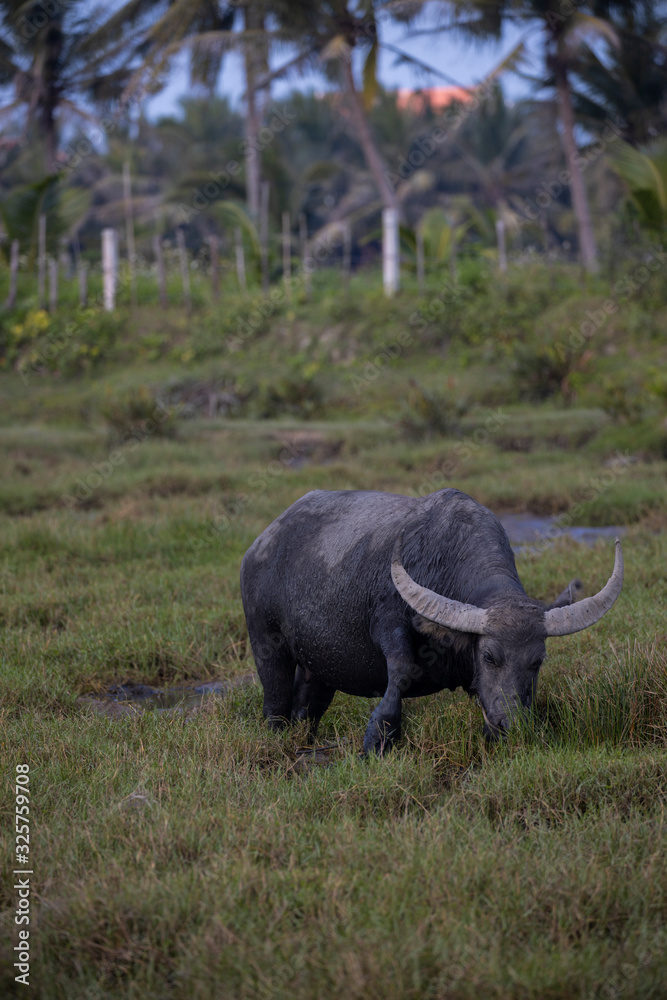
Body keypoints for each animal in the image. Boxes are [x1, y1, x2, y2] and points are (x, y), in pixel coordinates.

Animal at [240, 488, 623, 753]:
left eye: (537, 661)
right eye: (489, 656)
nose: (509, 725)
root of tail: (262, 541)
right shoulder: (389, 623)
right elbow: (402, 671)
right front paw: (378, 739)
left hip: (319, 667)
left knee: (307, 708)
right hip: (266, 645)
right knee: (275, 704)